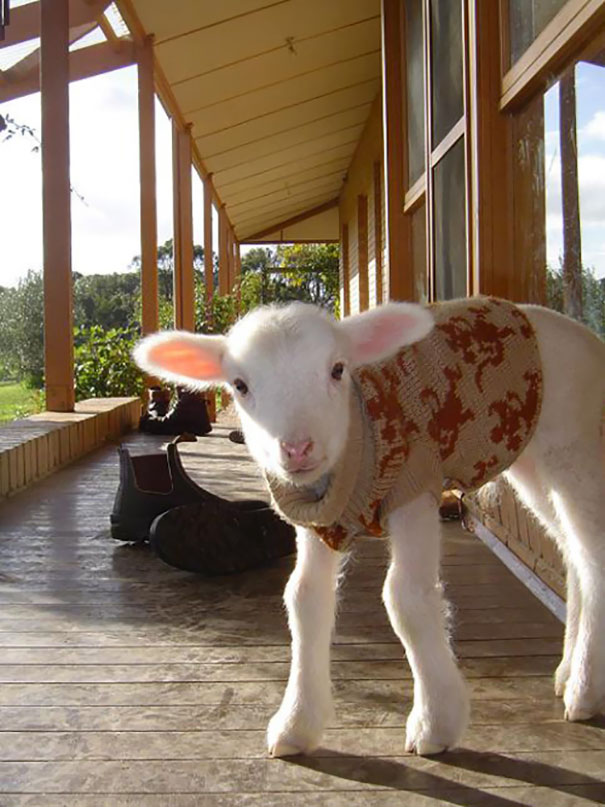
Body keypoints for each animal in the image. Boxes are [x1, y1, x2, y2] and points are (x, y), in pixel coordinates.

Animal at [135, 296, 605, 757]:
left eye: (337, 369)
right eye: (240, 385)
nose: (298, 448)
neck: (356, 434)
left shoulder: (415, 487)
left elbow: (406, 598)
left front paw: (435, 723)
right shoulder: (317, 517)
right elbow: (304, 598)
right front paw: (296, 724)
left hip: (576, 450)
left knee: (592, 555)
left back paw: (585, 688)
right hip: (534, 466)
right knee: (572, 554)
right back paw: (568, 671)